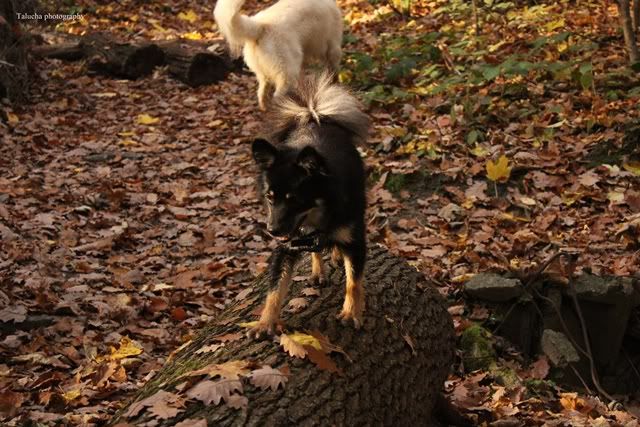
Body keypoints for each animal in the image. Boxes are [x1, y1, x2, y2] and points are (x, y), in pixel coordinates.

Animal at [213, 0, 343, 110]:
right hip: (287, 74)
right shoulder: (333, 47)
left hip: (265, 74)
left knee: (261, 93)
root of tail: (260, 27)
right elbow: (333, 71)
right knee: (277, 96)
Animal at [249, 73, 369, 337]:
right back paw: (318, 270)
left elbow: (353, 282)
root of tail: (314, 116)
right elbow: (275, 289)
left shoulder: (355, 241)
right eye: (270, 197)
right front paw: (265, 322)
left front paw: (351, 313)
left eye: (294, 199)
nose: (272, 231)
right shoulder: (286, 247)